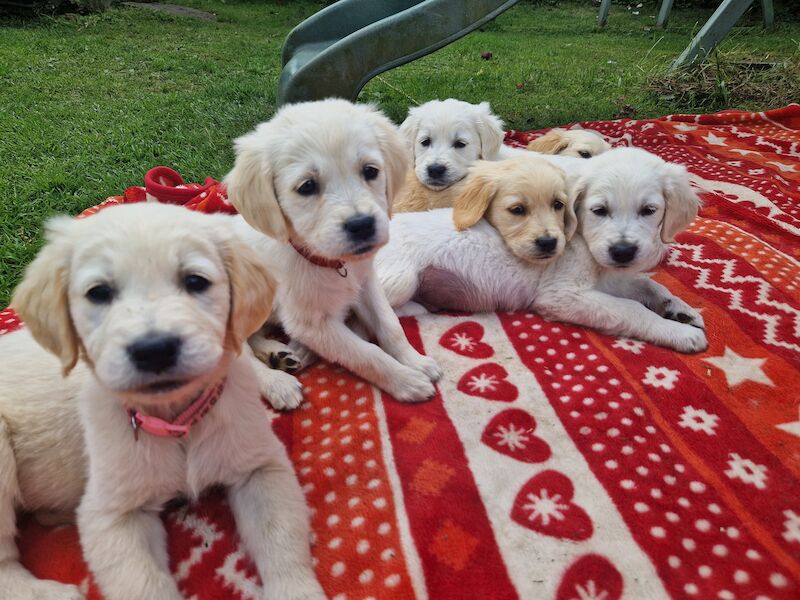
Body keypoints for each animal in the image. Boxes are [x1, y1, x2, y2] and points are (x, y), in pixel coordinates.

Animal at [1, 204, 324, 600]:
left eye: (196, 281)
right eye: (99, 292)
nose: (153, 350)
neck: (178, 420)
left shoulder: (260, 466)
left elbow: (281, 541)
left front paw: (298, 590)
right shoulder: (113, 516)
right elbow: (144, 584)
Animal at [376, 150, 708, 354]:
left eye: (649, 210)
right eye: (599, 210)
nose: (623, 252)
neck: (581, 238)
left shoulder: (610, 275)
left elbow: (647, 284)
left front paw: (679, 309)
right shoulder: (562, 294)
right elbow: (631, 309)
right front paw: (678, 333)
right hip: (401, 279)